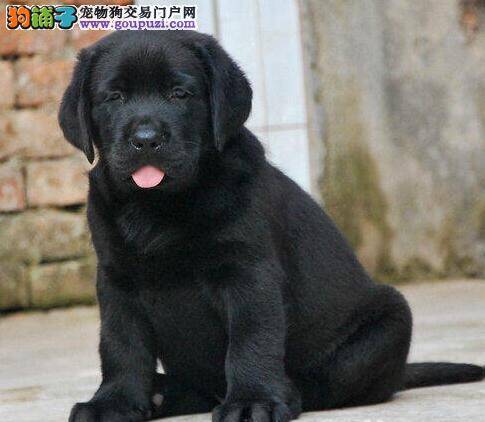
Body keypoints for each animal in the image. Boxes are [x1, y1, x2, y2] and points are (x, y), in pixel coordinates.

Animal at [59, 31, 484, 422]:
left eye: (179, 94)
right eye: (114, 97)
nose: (145, 139)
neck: (161, 206)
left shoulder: (248, 272)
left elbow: (251, 339)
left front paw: (253, 401)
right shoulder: (116, 279)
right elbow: (120, 345)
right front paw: (113, 403)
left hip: (389, 321)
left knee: (331, 384)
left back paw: (285, 393)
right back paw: (163, 393)